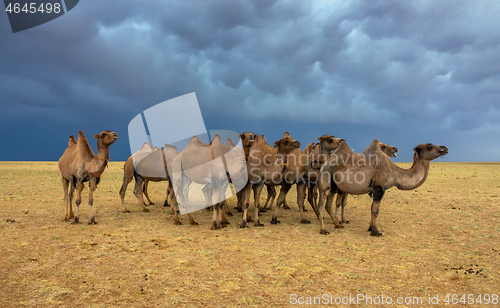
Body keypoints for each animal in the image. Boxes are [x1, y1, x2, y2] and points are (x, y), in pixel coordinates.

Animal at [318, 140, 448, 236]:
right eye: (430, 147)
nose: (445, 148)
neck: (395, 173)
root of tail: (325, 164)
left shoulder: (376, 190)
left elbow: (372, 208)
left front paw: (370, 228)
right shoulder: (379, 188)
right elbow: (376, 211)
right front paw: (376, 232)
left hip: (334, 185)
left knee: (329, 203)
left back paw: (338, 224)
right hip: (325, 179)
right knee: (321, 204)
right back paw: (324, 230)